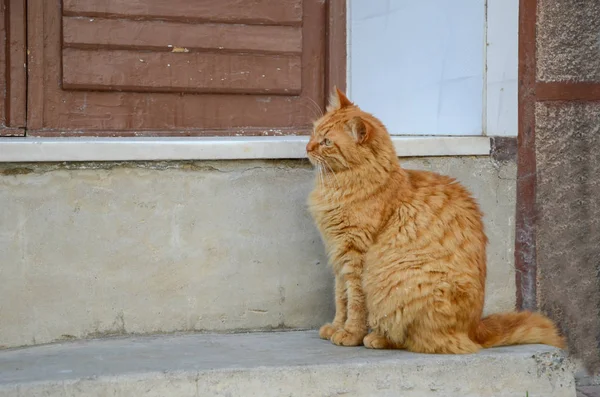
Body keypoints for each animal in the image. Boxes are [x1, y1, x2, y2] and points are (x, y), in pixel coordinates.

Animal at [308, 88, 564, 352]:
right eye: (314, 132)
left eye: (326, 142)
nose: (307, 148)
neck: (345, 184)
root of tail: (475, 329)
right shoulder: (339, 257)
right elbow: (341, 299)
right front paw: (335, 327)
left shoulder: (355, 257)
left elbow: (355, 304)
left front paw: (350, 333)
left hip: (400, 281)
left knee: (415, 339)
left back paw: (377, 338)